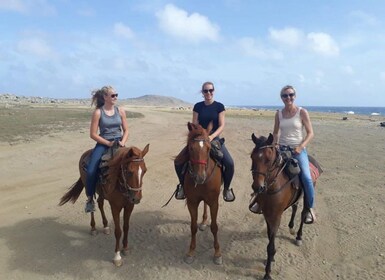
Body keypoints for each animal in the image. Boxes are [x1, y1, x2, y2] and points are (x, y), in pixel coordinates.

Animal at [182, 122, 224, 264]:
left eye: (209, 148)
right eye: (190, 148)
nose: (200, 177)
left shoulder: (214, 202)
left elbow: (214, 227)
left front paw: (217, 253)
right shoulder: (192, 202)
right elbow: (193, 227)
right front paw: (190, 252)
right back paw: (204, 221)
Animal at [249, 134, 320, 280]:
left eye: (268, 159)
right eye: (252, 157)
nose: (257, 187)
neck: (272, 187)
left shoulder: (276, 217)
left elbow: (270, 246)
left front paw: (267, 273)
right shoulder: (267, 215)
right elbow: (270, 237)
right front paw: (271, 259)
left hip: (308, 193)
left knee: (303, 213)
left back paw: (299, 237)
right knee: (295, 206)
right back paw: (291, 226)